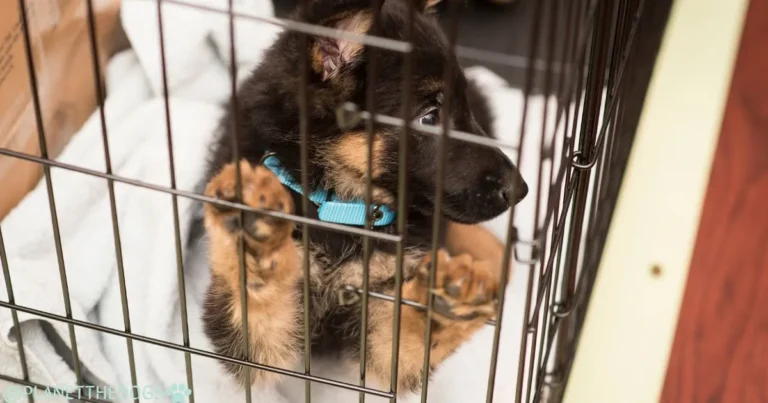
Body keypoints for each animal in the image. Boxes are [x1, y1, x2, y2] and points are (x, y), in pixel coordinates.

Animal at [198, 0, 528, 396]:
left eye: (463, 109)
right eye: (429, 118)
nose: (521, 190)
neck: (341, 205)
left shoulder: (384, 315)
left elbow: (407, 337)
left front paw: (451, 299)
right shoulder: (253, 350)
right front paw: (257, 236)